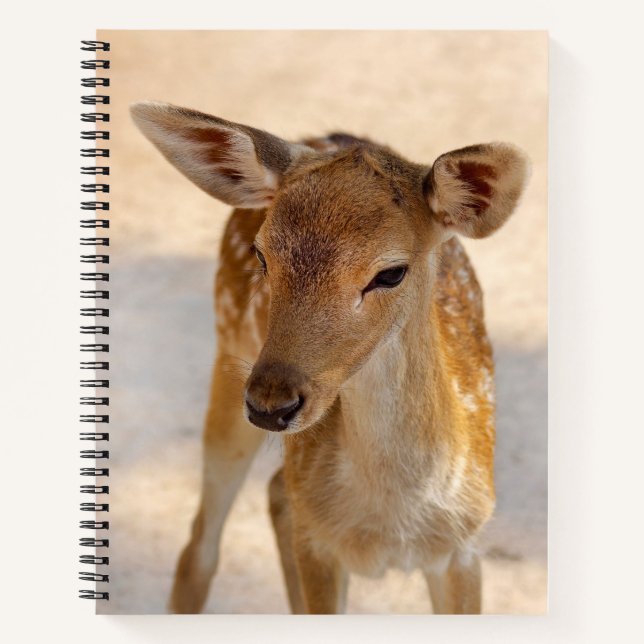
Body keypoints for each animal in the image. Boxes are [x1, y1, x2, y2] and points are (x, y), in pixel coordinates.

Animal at [131, 101, 529, 614]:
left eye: (391, 272)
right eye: (262, 256)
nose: (270, 404)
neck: (391, 524)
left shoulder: (465, 546)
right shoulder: (319, 546)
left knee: (275, 492)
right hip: (228, 353)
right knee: (200, 544)